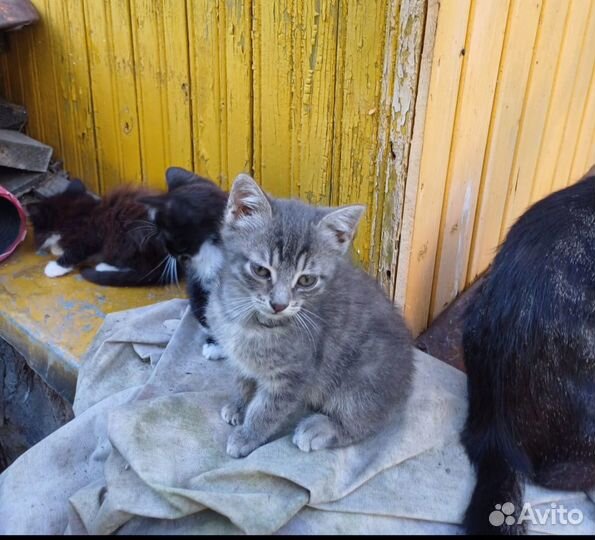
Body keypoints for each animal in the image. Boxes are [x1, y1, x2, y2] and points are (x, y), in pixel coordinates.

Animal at [26, 178, 179, 286]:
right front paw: (57, 247)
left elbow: (75, 252)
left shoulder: (90, 235)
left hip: (126, 238)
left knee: (142, 267)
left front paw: (55, 267)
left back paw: (104, 266)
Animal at [205, 175, 414, 458]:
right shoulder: (241, 358)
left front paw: (247, 436)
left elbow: (266, 411)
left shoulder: (291, 376)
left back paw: (319, 429)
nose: (279, 304)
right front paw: (237, 404)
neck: (248, 320)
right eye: (261, 270)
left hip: (365, 377)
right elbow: (242, 379)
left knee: (362, 422)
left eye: (306, 280)